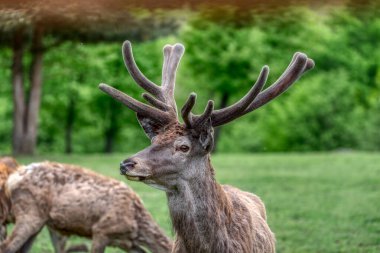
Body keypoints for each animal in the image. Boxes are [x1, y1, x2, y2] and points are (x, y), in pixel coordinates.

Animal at [0, 157, 172, 252]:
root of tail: (13, 178)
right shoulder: (101, 230)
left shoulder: (127, 243)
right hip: (29, 213)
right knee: (7, 246)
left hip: (39, 221)